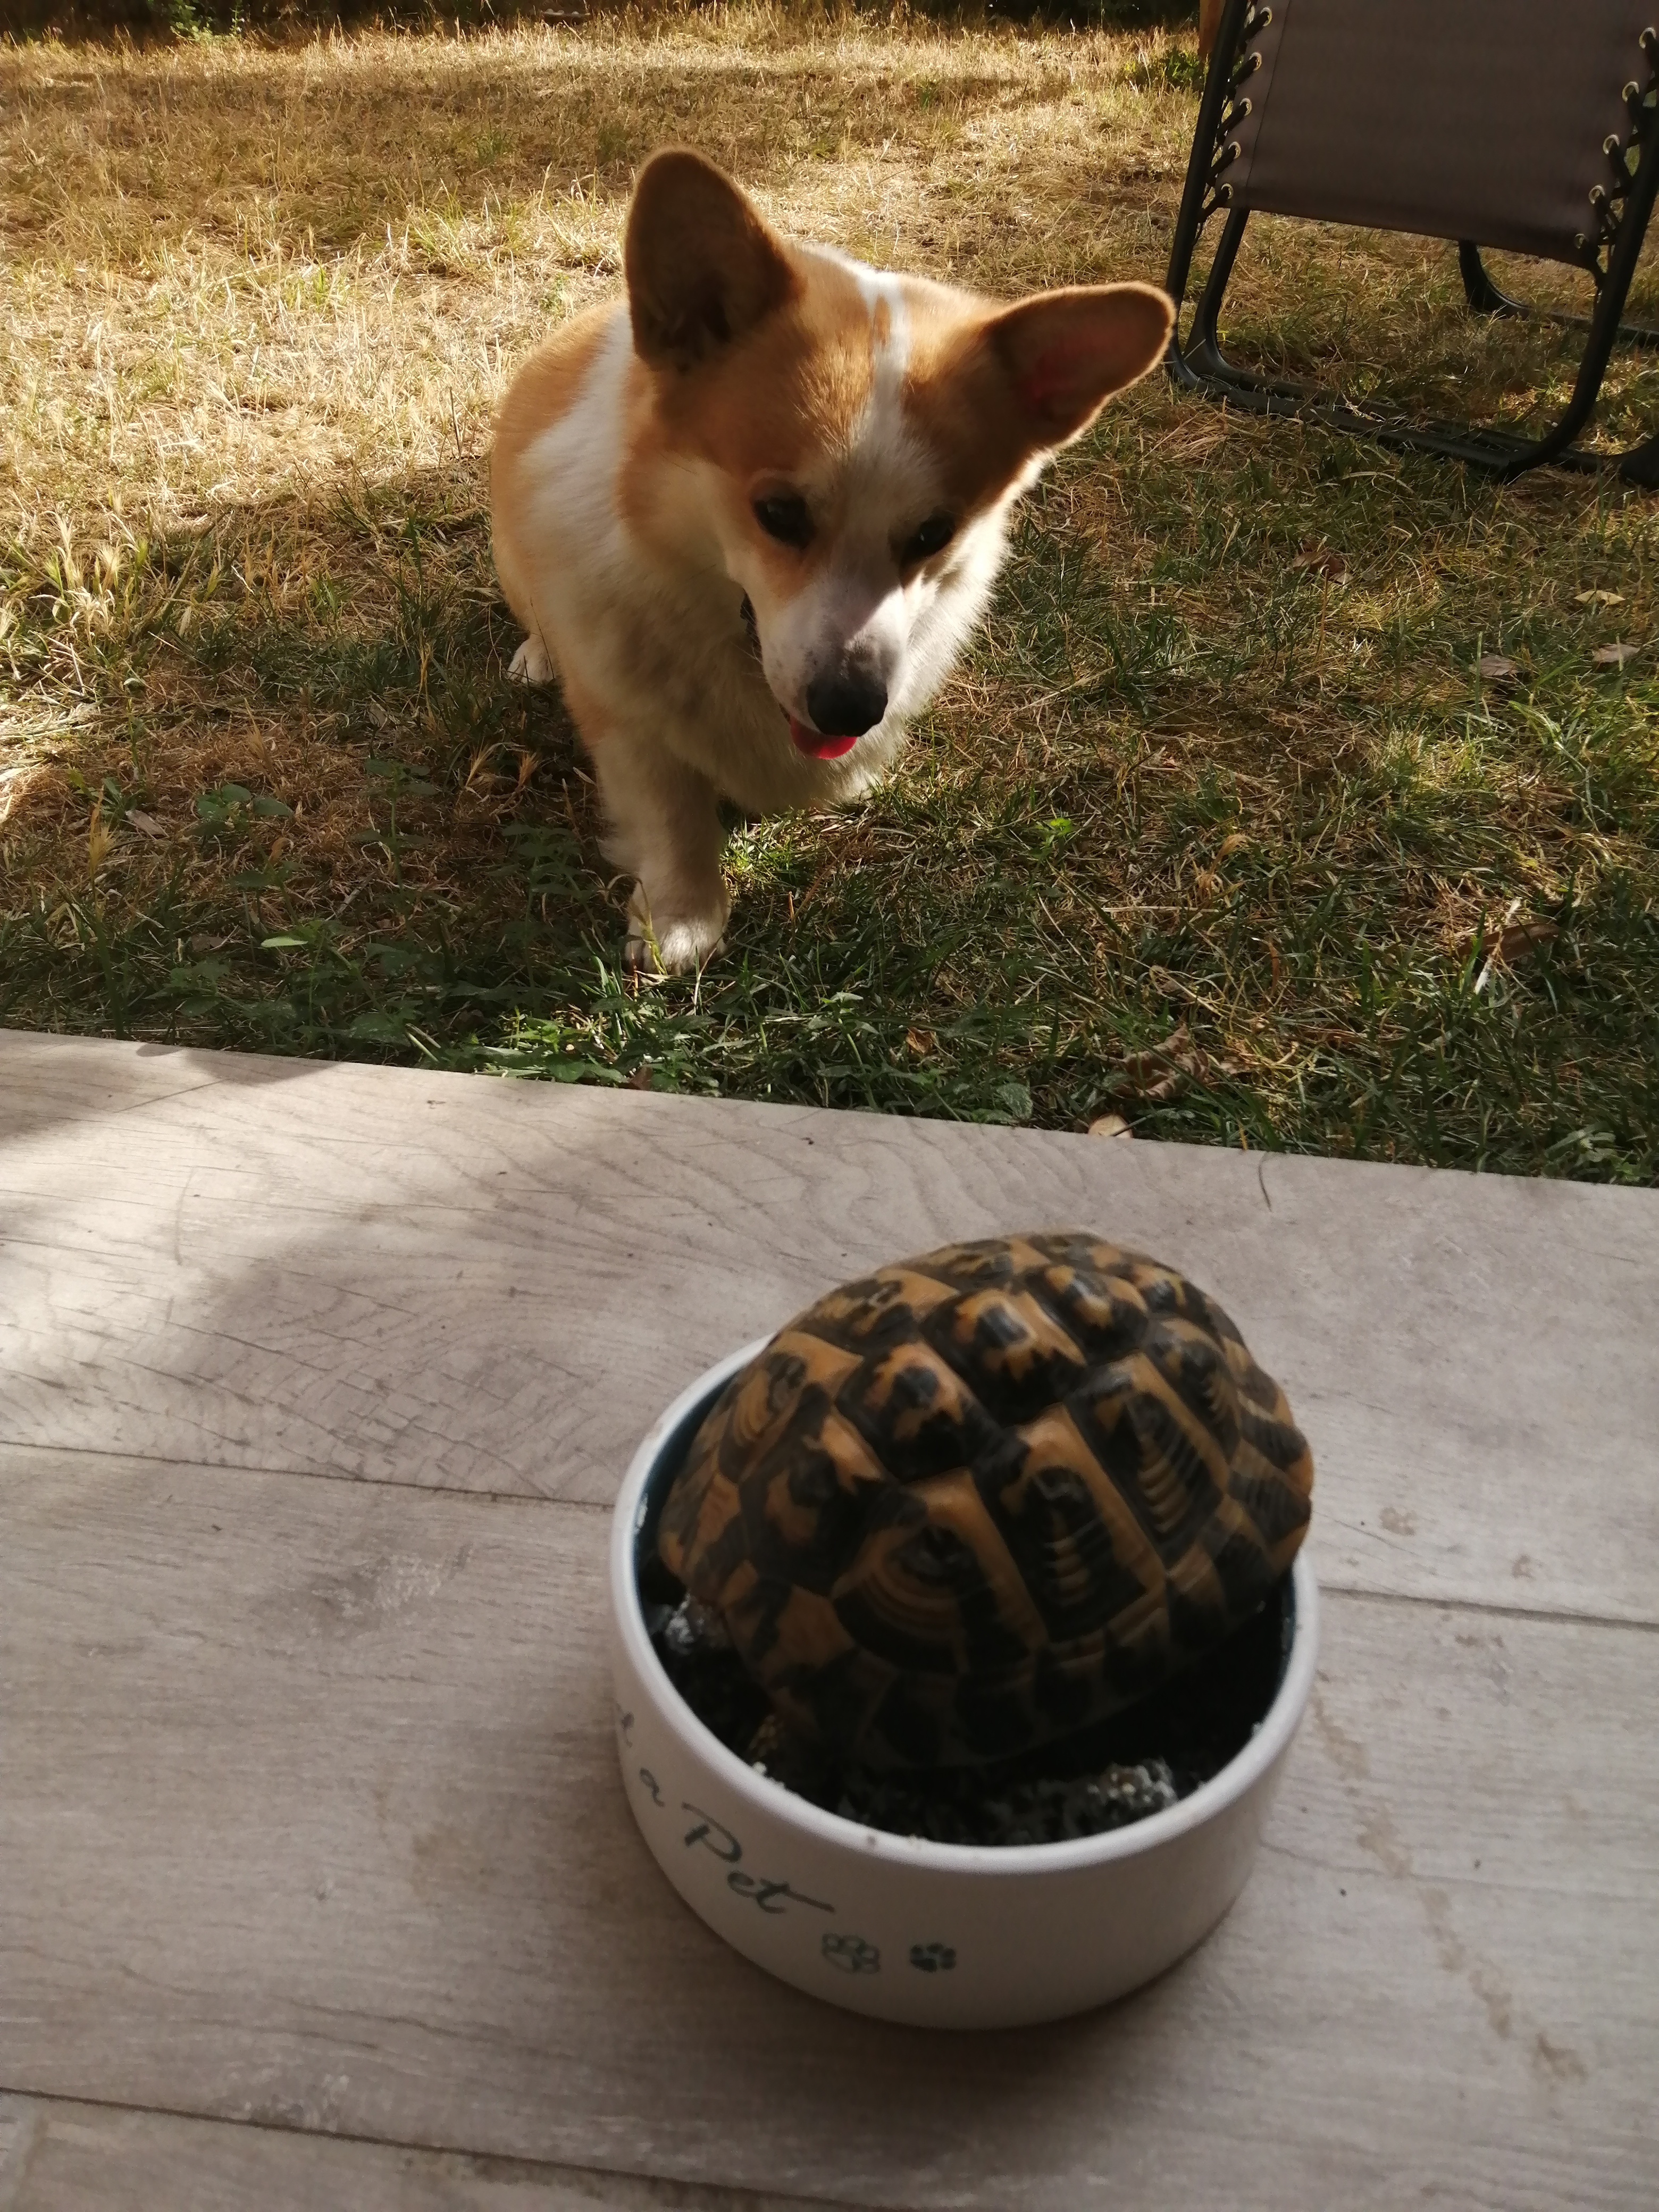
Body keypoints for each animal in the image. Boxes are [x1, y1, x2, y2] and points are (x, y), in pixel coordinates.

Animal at [491, 149, 1173, 972]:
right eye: (779, 513)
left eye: (934, 533)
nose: (850, 708)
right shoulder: (628, 723)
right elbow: (672, 814)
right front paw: (684, 920)